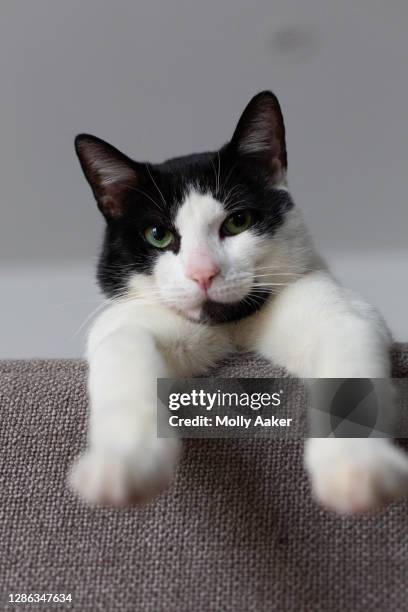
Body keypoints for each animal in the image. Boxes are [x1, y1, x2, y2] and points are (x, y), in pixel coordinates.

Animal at [69, 89, 408, 512]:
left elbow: (350, 377)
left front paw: (357, 464)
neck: (231, 330)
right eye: (158, 235)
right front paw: (121, 463)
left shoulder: (340, 312)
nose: (203, 273)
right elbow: (124, 363)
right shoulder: (123, 324)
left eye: (237, 222)